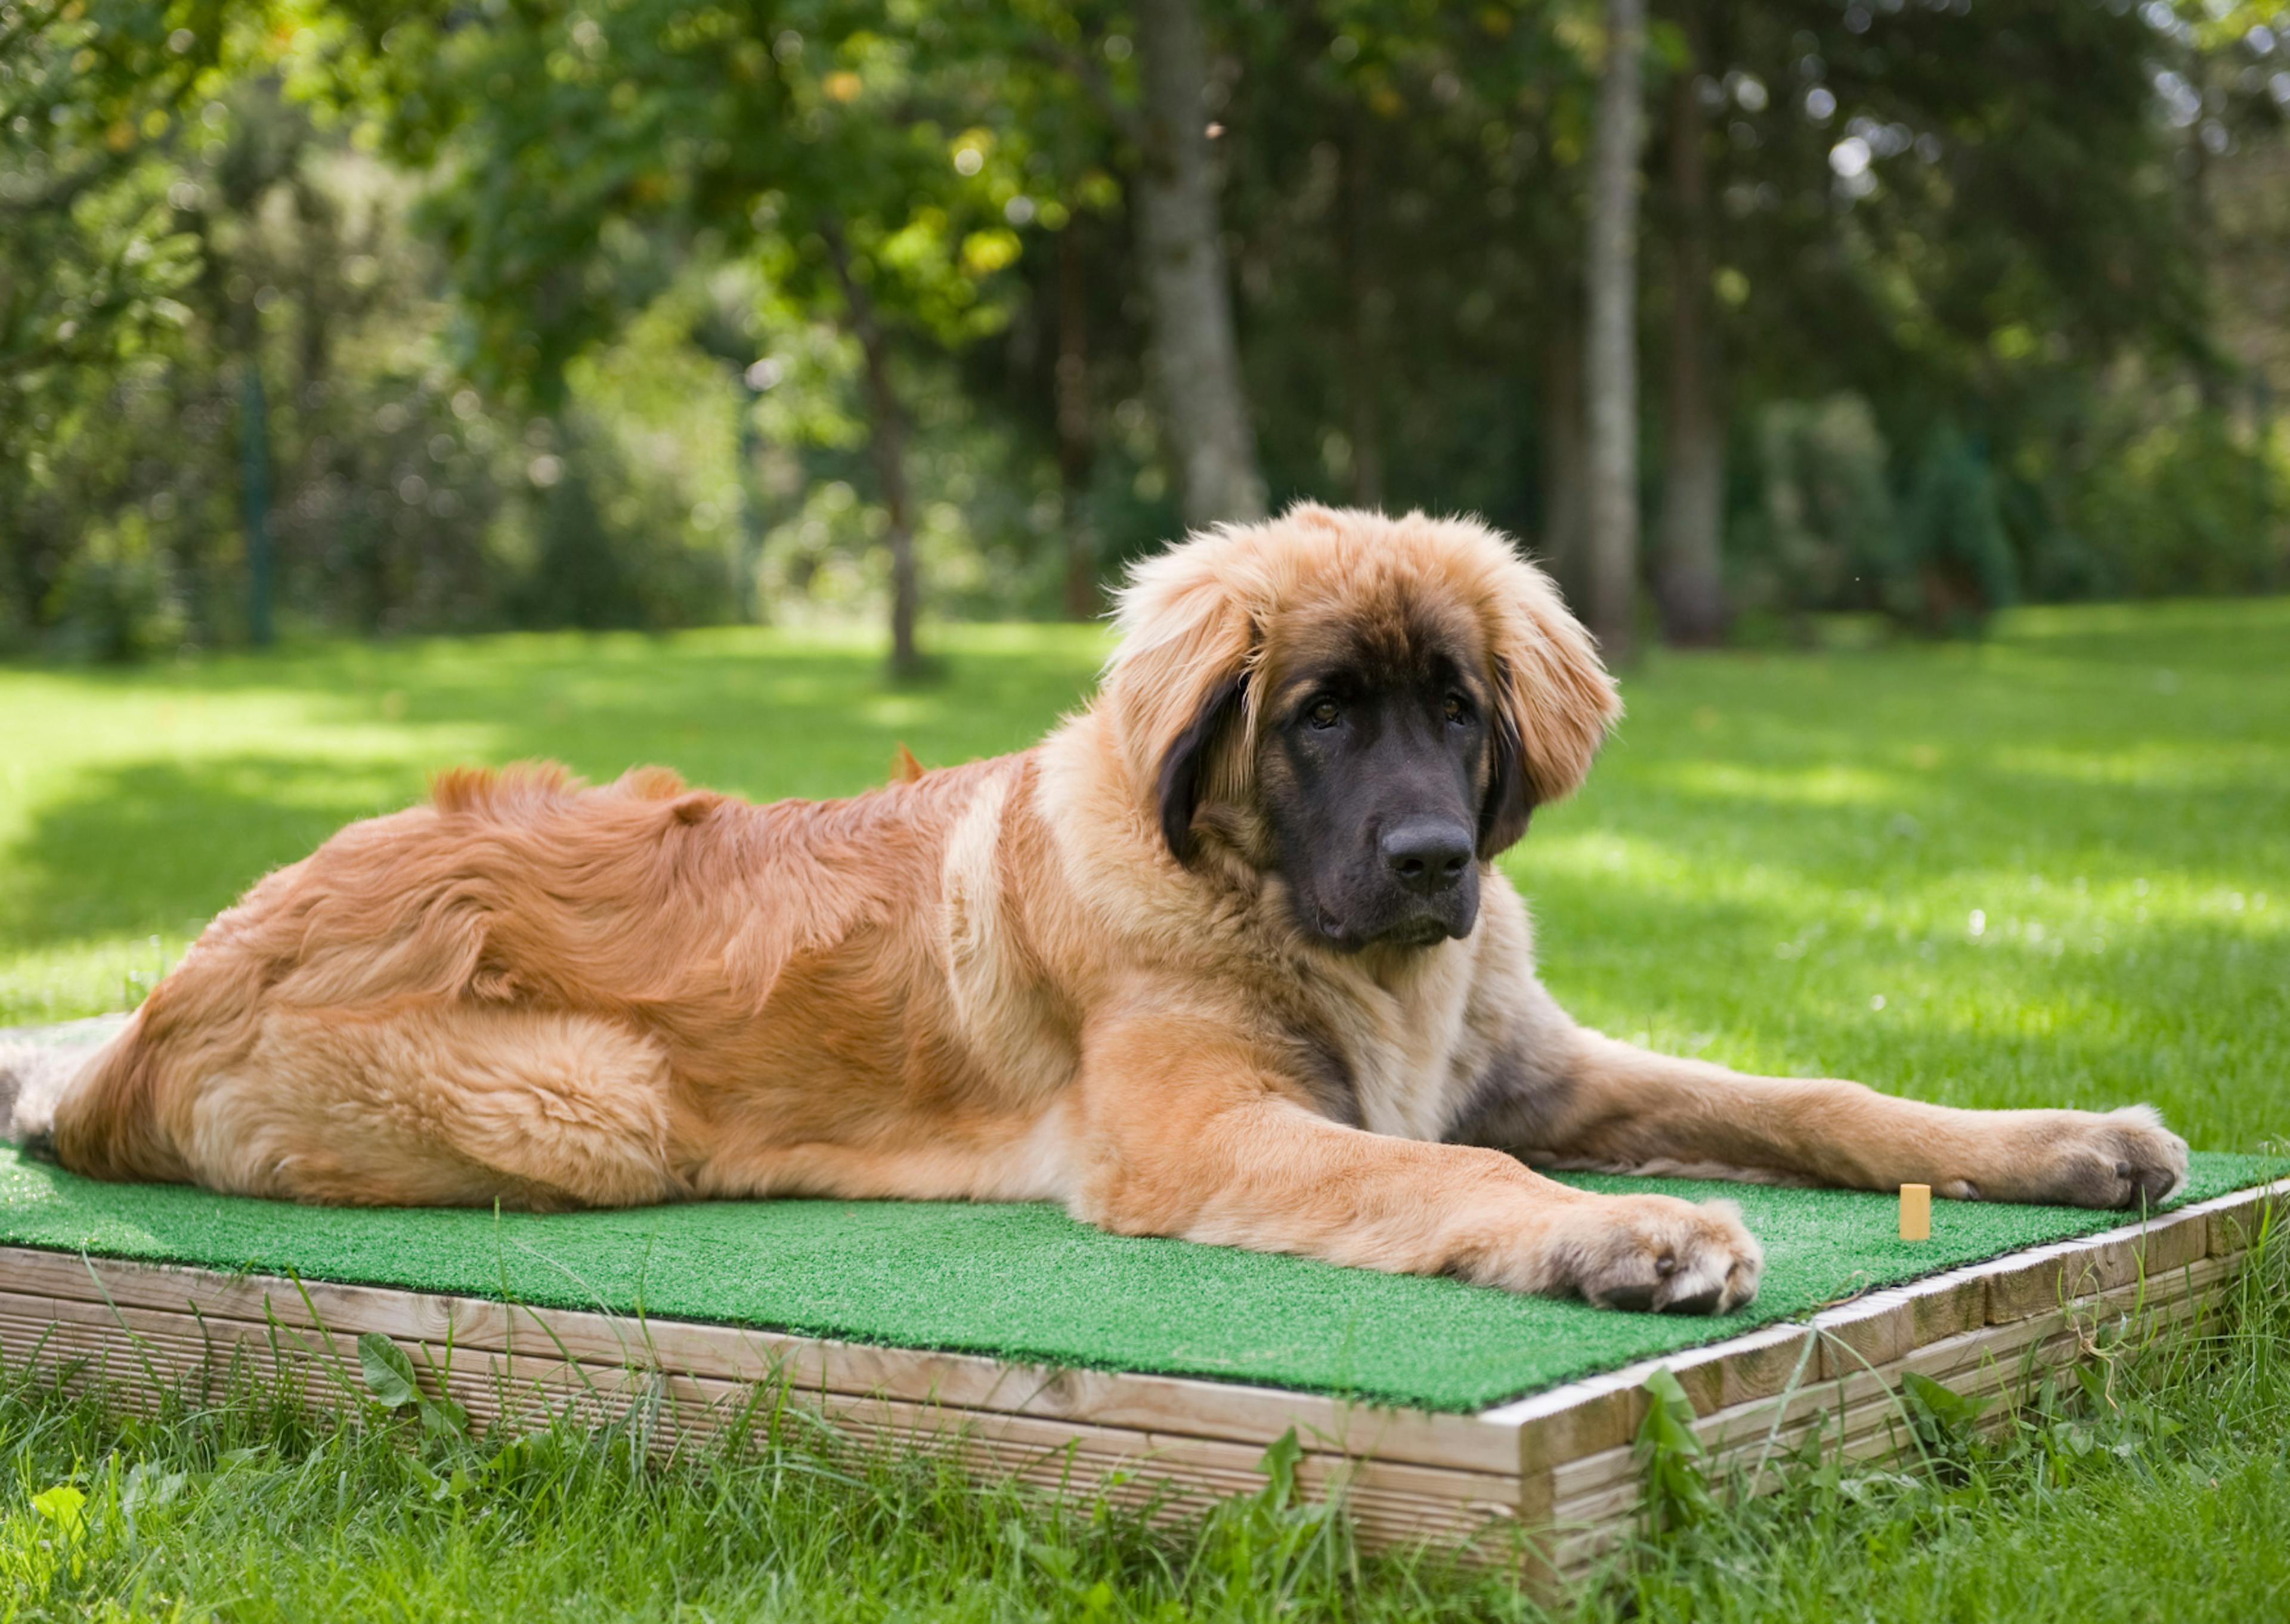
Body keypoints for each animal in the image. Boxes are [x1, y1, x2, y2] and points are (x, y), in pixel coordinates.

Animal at [36, 499, 2180, 1310]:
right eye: (1319, 717)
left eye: (1456, 710)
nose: (1435, 864)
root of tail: (154, 1010)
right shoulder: (1208, 1122)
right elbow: (1449, 1173)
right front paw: (1627, 1237)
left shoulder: (1536, 1063)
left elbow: (1821, 1096)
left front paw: (2069, 1136)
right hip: (597, 1101)